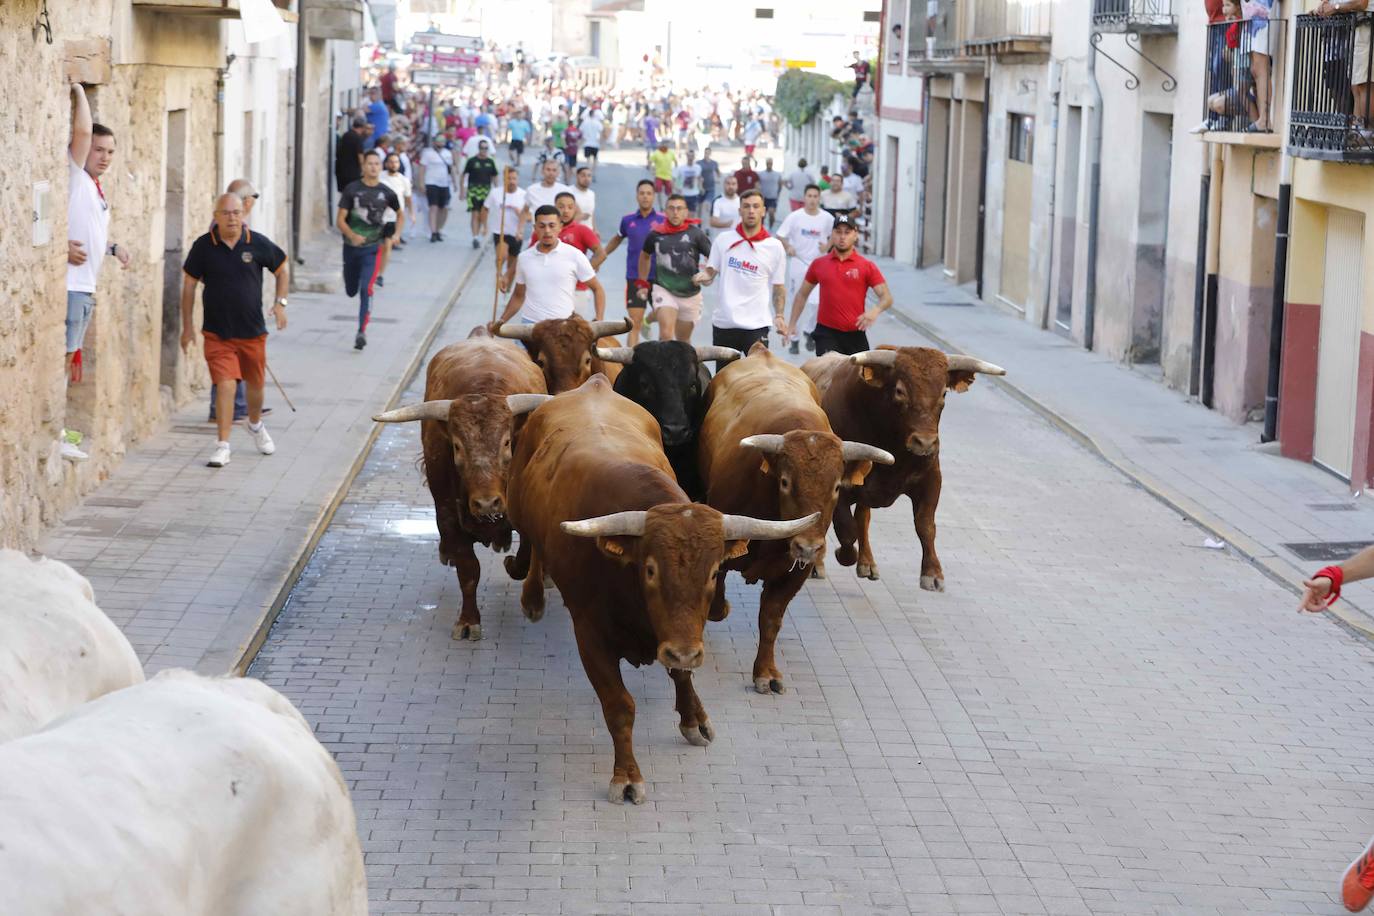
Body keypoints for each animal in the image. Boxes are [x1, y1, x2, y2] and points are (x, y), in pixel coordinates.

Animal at [376, 328, 552, 637]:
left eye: (507, 443)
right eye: (457, 446)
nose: (487, 503)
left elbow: (526, 557)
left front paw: (524, 585)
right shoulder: (449, 513)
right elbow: (469, 571)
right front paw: (469, 621)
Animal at [508, 376, 813, 807]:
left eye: (714, 571)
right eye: (650, 569)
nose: (683, 650)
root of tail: (592, 384)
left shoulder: (679, 636)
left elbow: (681, 673)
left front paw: (694, 719)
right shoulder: (590, 636)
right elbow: (620, 706)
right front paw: (627, 776)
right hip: (519, 512)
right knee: (531, 543)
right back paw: (533, 595)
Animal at [697, 348, 890, 694]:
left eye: (837, 486)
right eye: (785, 482)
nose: (808, 547)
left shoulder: (794, 574)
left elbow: (771, 619)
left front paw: (765, 672)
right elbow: (715, 596)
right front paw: (720, 610)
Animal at [802, 347, 1005, 590]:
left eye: (944, 393)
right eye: (900, 391)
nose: (925, 442)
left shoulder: (931, 479)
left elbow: (925, 525)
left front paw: (932, 573)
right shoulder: (838, 487)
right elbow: (846, 530)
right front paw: (843, 555)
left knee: (863, 517)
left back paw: (867, 563)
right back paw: (819, 565)